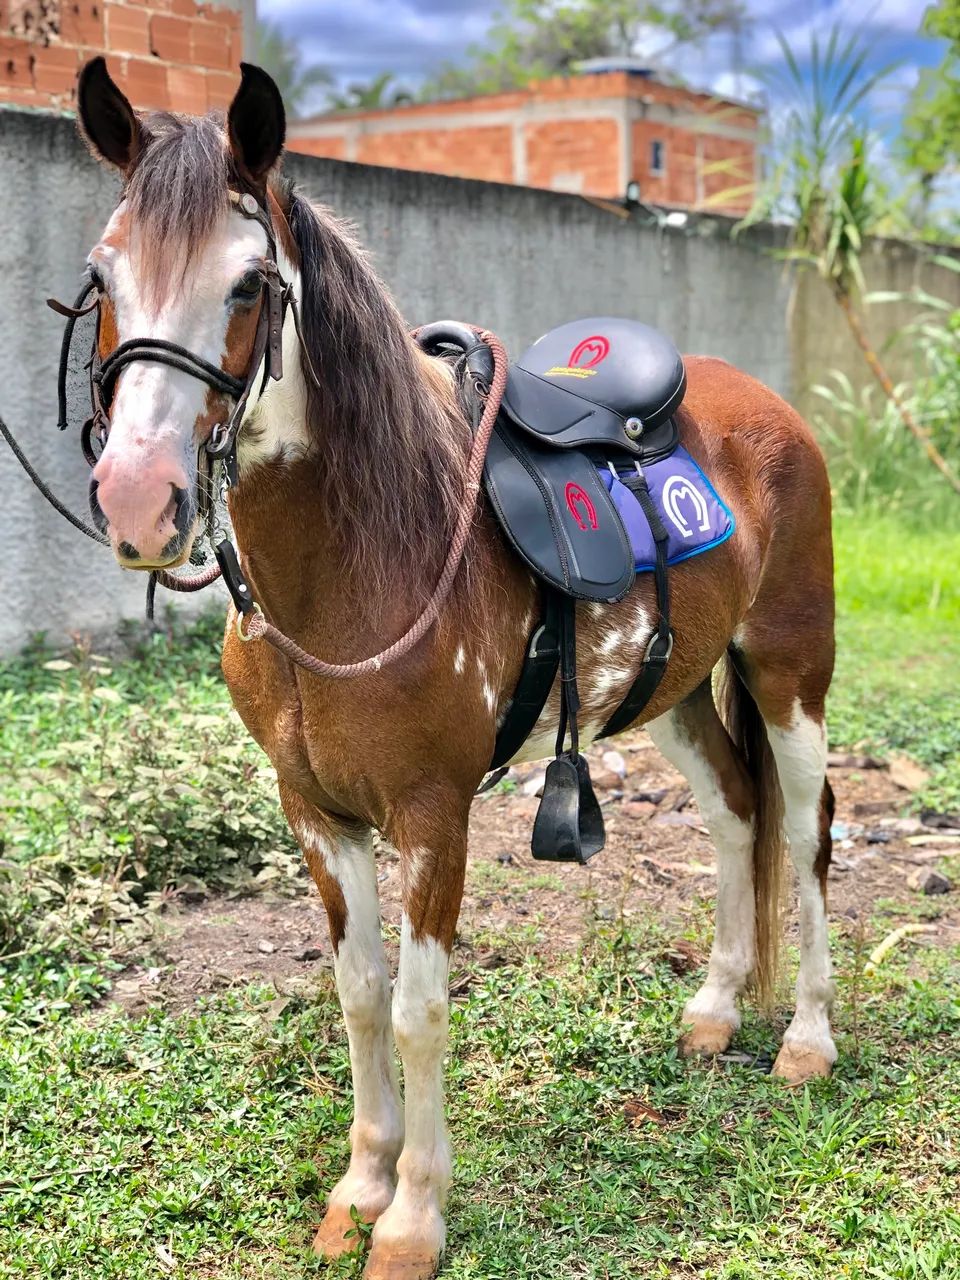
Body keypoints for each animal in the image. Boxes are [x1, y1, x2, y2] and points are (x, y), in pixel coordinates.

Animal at [73, 57, 836, 1280]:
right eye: (102, 275)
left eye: (249, 284)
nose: (141, 501)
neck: (362, 559)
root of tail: (770, 410)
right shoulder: (314, 810)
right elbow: (357, 993)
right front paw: (358, 1190)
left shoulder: (434, 812)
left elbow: (421, 1008)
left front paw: (413, 1219)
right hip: (670, 687)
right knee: (734, 811)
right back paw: (717, 1008)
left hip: (790, 671)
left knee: (805, 833)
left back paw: (808, 1038)